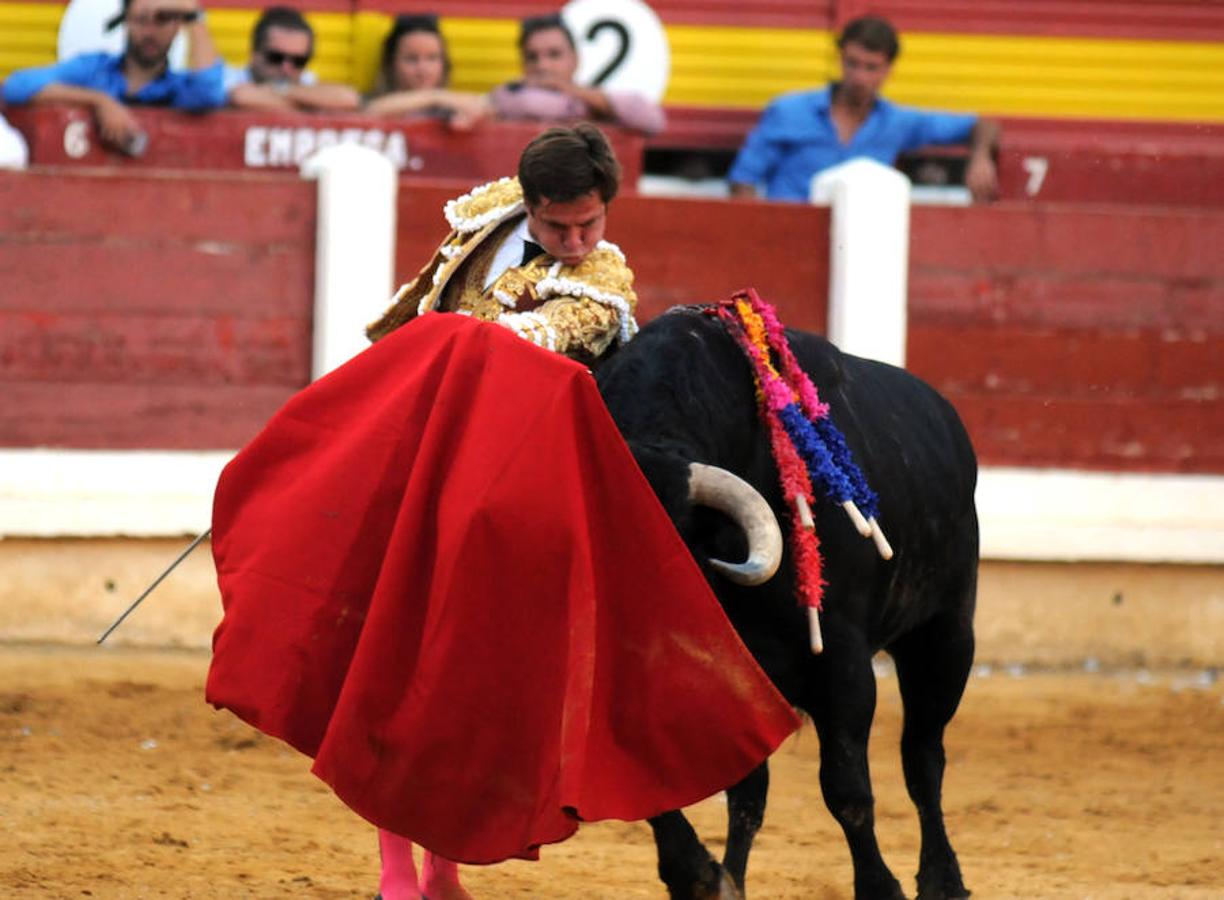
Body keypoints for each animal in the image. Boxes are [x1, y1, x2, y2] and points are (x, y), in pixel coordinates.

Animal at [597, 308, 979, 900]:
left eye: (669, 542)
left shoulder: (843, 663)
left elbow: (847, 789)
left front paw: (880, 887)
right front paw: (705, 878)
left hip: (945, 638)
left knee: (923, 758)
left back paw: (943, 879)